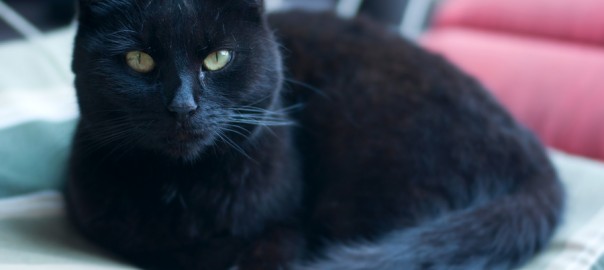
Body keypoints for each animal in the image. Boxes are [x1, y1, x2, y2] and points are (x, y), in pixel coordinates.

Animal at [67, 1, 568, 268]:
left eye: (217, 58)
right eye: (138, 60)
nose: (183, 106)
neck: (182, 189)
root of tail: (537, 165)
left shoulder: (290, 228)